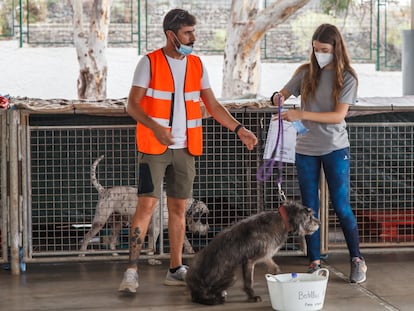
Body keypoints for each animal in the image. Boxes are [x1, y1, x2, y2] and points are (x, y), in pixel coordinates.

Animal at [187, 201, 320, 306]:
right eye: (309, 217)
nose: (319, 223)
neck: (282, 220)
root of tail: (195, 289)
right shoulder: (250, 260)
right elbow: (249, 281)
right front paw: (252, 296)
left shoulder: (266, 256)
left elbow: (276, 269)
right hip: (232, 274)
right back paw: (217, 297)